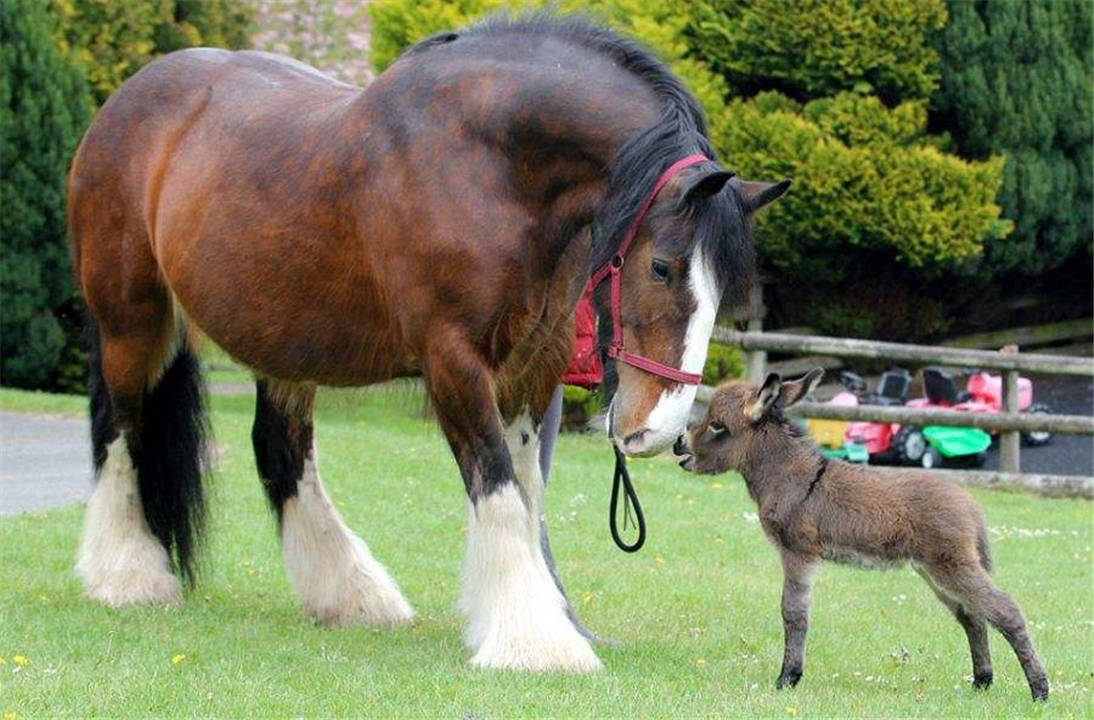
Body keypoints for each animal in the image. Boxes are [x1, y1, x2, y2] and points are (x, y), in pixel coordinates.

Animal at [68, 15, 787, 665]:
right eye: (661, 267)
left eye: (724, 290)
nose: (655, 430)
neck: (487, 167)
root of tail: (127, 101)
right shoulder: (453, 364)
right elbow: (498, 490)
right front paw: (536, 643)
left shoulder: (533, 369)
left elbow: (527, 495)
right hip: (131, 321)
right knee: (121, 430)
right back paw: (127, 576)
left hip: (282, 342)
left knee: (281, 450)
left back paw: (352, 596)